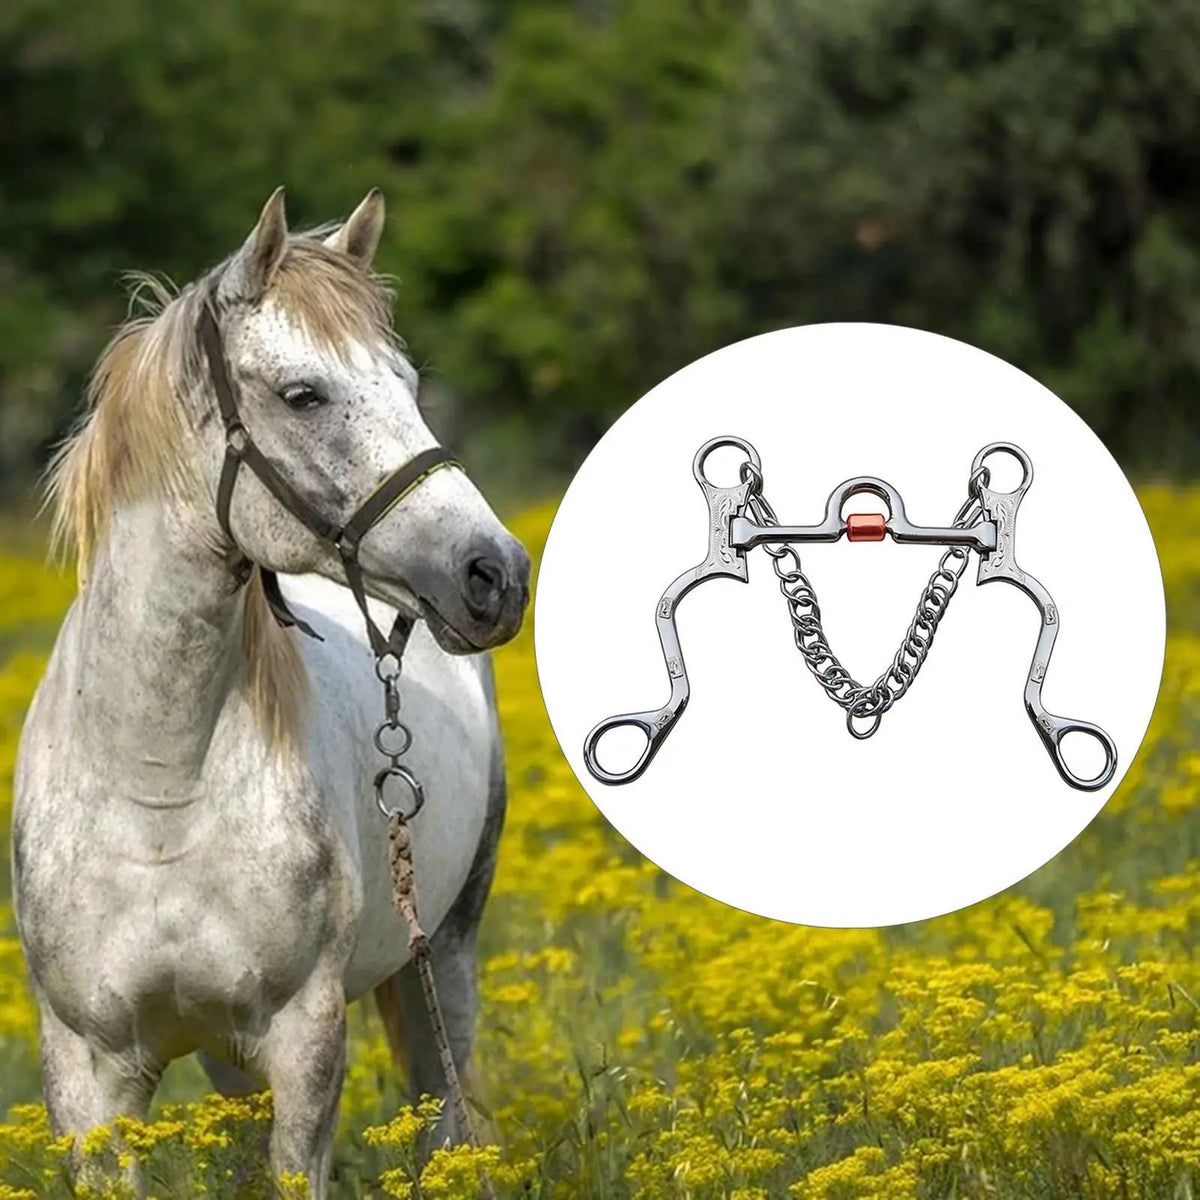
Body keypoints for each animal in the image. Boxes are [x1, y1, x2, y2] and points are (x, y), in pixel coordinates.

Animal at [12, 187, 530, 1195]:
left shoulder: (302, 1042)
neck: (158, 789)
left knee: (443, 1115)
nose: (495, 574)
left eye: (409, 386)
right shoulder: (88, 1075)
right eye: (303, 395)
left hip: (443, 956)